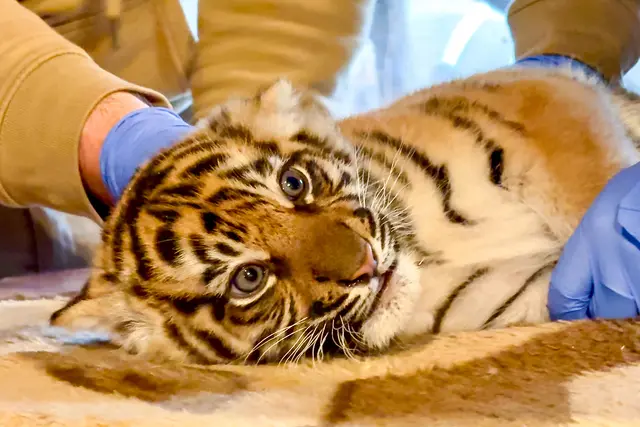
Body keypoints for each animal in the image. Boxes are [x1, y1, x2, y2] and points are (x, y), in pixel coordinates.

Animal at [50, 66, 640, 365]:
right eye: (248, 279)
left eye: (294, 183)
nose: (367, 266)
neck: (431, 252)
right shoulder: (521, 294)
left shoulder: (540, 96)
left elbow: (593, 184)